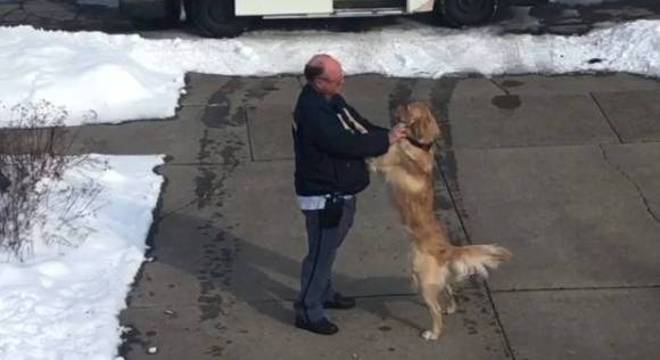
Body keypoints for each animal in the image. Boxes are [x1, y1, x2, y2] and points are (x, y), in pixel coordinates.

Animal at [372, 102, 510, 340]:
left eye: (408, 107)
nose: (397, 108)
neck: (419, 144)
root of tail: (448, 250)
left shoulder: (380, 161)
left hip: (422, 280)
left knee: (435, 310)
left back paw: (433, 333)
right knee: (450, 290)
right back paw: (451, 308)